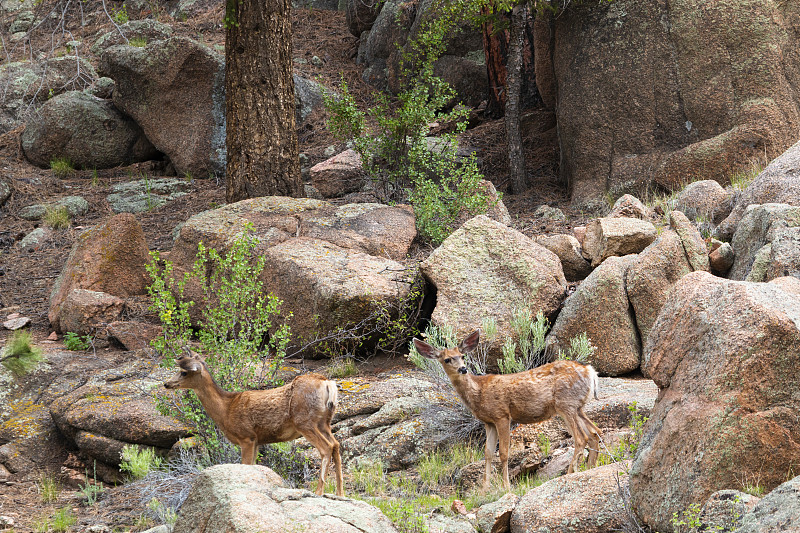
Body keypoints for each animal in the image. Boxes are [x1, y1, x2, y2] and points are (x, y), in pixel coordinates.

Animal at [166, 352, 344, 496]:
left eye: (184, 372)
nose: (166, 383)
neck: (226, 410)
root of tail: (328, 383)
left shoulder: (247, 437)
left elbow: (245, 465)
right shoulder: (257, 441)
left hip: (304, 421)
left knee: (326, 447)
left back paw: (319, 491)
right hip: (324, 422)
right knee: (336, 445)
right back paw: (340, 493)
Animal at [412, 330, 600, 488]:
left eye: (462, 356)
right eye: (447, 359)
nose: (463, 369)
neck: (478, 393)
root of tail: (590, 371)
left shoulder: (501, 415)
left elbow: (503, 453)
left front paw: (506, 486)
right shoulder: (488, 422)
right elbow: (488, 453)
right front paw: (485, 488)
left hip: (566, 403)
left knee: (581, 438)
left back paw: (570, 472)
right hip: (577, 406)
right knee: (594, 432)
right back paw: (589, 467)